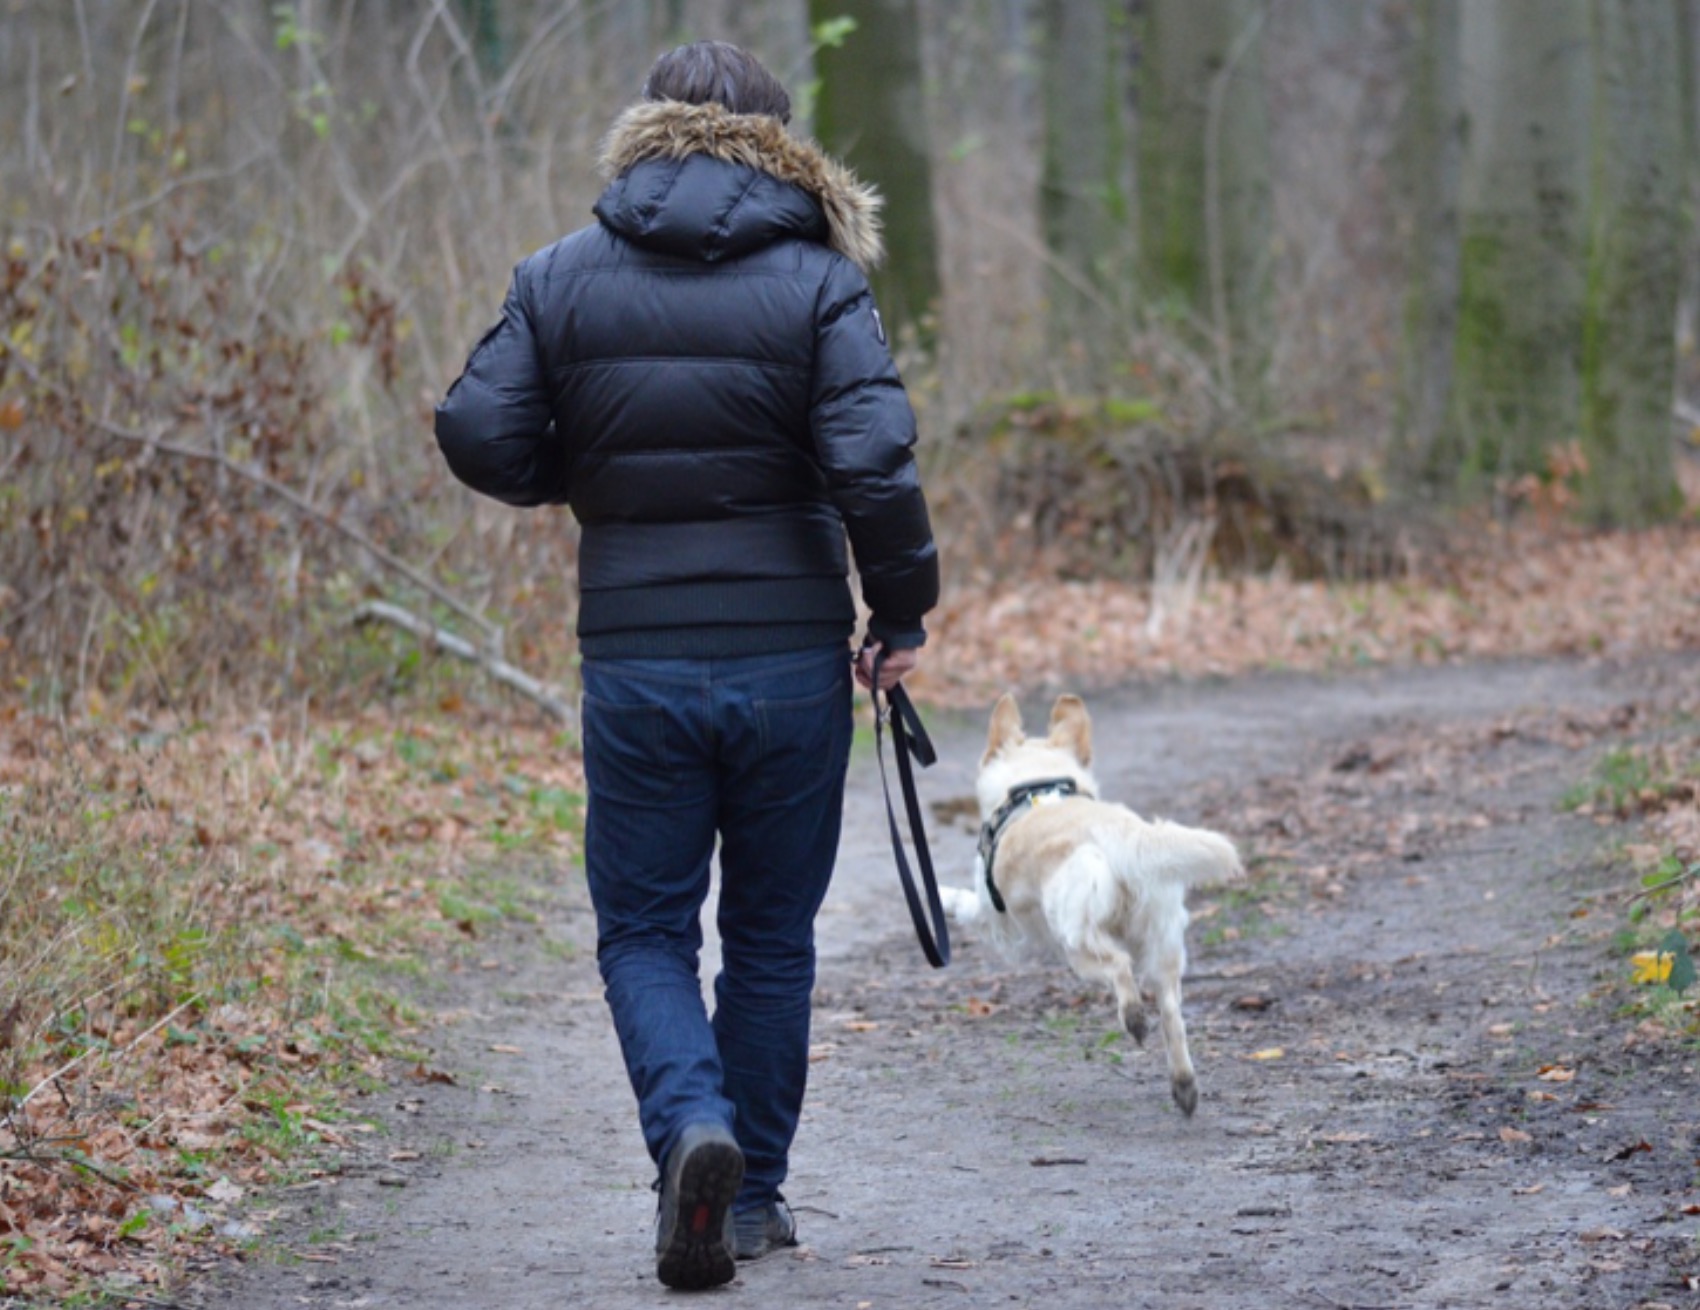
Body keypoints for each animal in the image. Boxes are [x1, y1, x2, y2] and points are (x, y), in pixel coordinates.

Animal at [938, 696, 1244, 1114]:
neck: (1037, 785)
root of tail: (1124, 835)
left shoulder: (994, 915)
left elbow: (963, 901)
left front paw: (938, 895)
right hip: (1162, 944)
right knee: (1171, 1013)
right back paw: (1183, 1085)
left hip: (1076, 943)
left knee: (1120, 967)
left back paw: (1134, 1018)